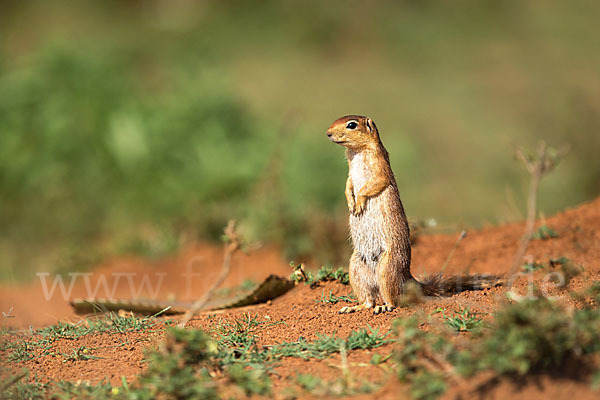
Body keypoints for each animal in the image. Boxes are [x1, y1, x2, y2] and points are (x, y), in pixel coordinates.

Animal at [326, 114, 500, 314]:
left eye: (351, 125)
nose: (328, 133)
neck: (356, 153)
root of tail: (407, 277)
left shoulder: (379, 167)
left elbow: (373, 184)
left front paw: (359, 203)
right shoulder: (350, 175)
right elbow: (348, 185)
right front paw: (351, 203)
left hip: (387, 270)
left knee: (393, 299)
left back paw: (384, 307)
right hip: (356, 269)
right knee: (369, 299)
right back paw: (354, 307)